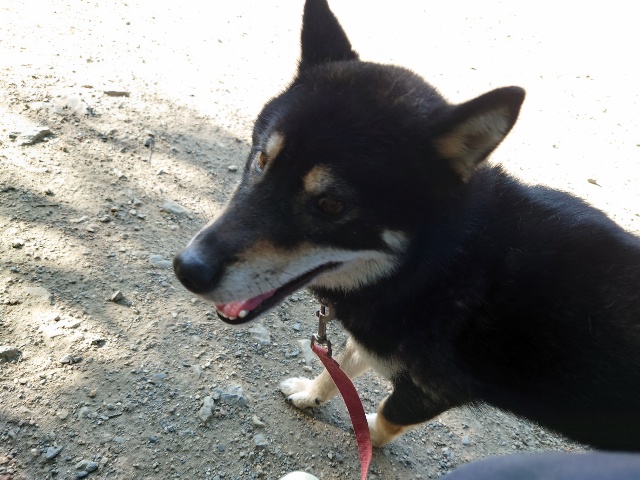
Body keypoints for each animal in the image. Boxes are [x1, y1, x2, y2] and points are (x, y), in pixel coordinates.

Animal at [174, 0, 640, 451]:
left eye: (332, 204)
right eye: (261, 160)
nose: (187, 269)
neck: (441, 264)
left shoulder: (432, 390)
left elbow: (384, 414)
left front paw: (368, 438)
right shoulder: (373, 338)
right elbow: (339, 368)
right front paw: (311, 393)